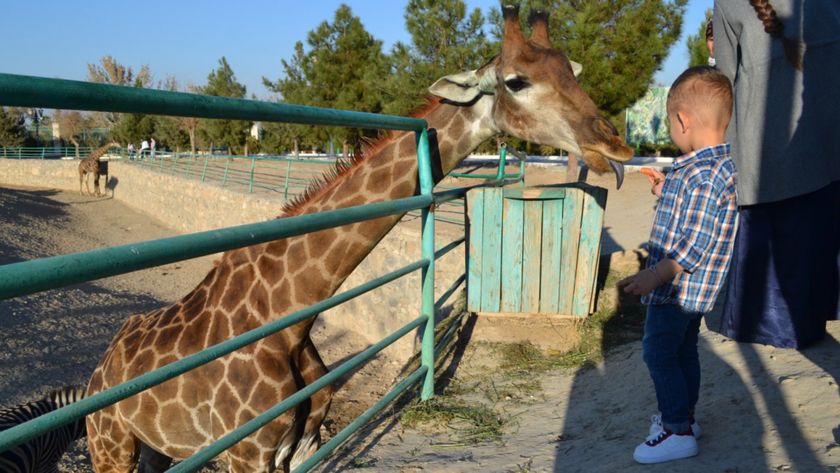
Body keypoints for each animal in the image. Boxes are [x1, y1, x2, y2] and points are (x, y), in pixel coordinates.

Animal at [85, 4, 632, 472]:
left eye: (573, 74)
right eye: (517, 81)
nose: (615, 145)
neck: (287, 317)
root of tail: (97, 375)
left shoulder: (301, 440)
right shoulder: (247, 451)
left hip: (157, 450)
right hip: (111, 444)